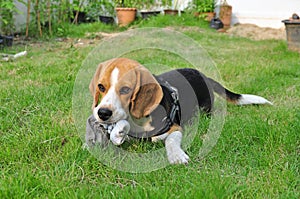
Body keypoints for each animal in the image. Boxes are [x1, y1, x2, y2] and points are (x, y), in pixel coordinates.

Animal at [88, 57, 272, 163]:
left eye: (126, 89)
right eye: (101, 87)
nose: (102, 113)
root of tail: (203, 75)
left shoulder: (175, 127)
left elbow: (171, 140)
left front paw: (176, 156)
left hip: (206, 109)